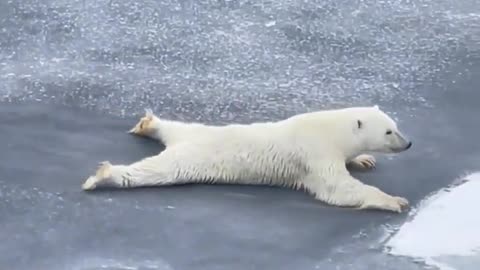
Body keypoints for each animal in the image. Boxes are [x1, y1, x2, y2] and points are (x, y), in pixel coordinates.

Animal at [82, 105, 412, 213]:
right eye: (389, 131)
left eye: (396, 125)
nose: (408, 143)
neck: (329, 129)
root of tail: (183, 143)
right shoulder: (315, 153)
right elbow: (337, 189)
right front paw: (394, 200)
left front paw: (364, 160)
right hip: (189, 158)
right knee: (155, 171)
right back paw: (103, 175)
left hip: (193, 132)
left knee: (176, 126)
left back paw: (149, 124)